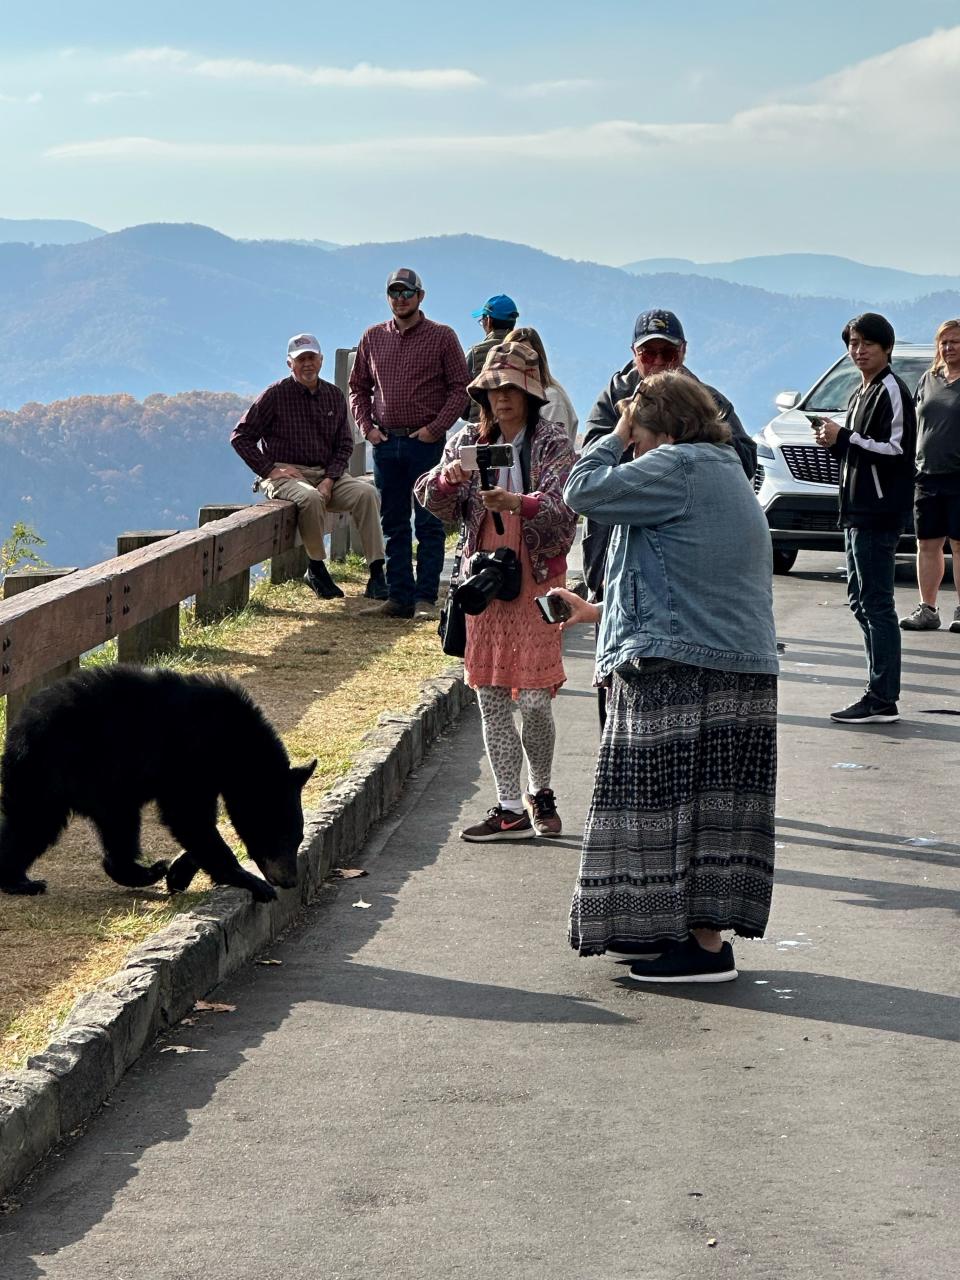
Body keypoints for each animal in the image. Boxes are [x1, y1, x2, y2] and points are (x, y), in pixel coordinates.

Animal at [0, 665, 317, 906]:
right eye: (280, 835)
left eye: (298, 836)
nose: (290, 881)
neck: (235, 744)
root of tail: (18, 730)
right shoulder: (190, 759)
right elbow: (189, 817)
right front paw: (250, 881)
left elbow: (197, 824)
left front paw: (179, 873)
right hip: (77, 770)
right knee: (70, 823)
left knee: (37, 826)